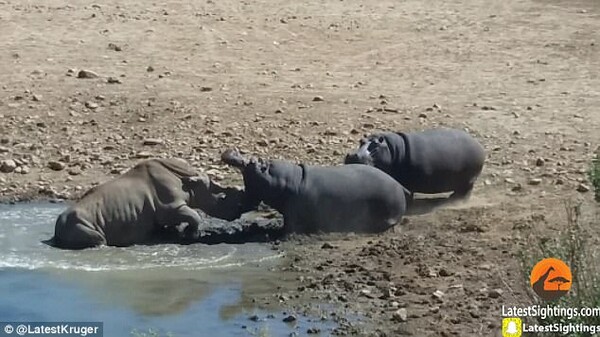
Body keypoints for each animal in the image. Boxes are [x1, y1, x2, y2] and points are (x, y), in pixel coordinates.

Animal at [47, 156, 244, 248]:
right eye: (221, 197)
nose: (237, 213)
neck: (188, 182)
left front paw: (173, 234)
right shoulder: (171, 207)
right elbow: (194, 215)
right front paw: (191, 236)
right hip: (77, 222)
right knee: (99, 238)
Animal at [344, 126, 486, 200]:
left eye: (376, 145)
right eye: (361, 141)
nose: (353, 156)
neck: (392, 149)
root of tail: (478, 145)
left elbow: (408, 192)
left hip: (469, 178)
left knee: (467, 189)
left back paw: (456, 199)